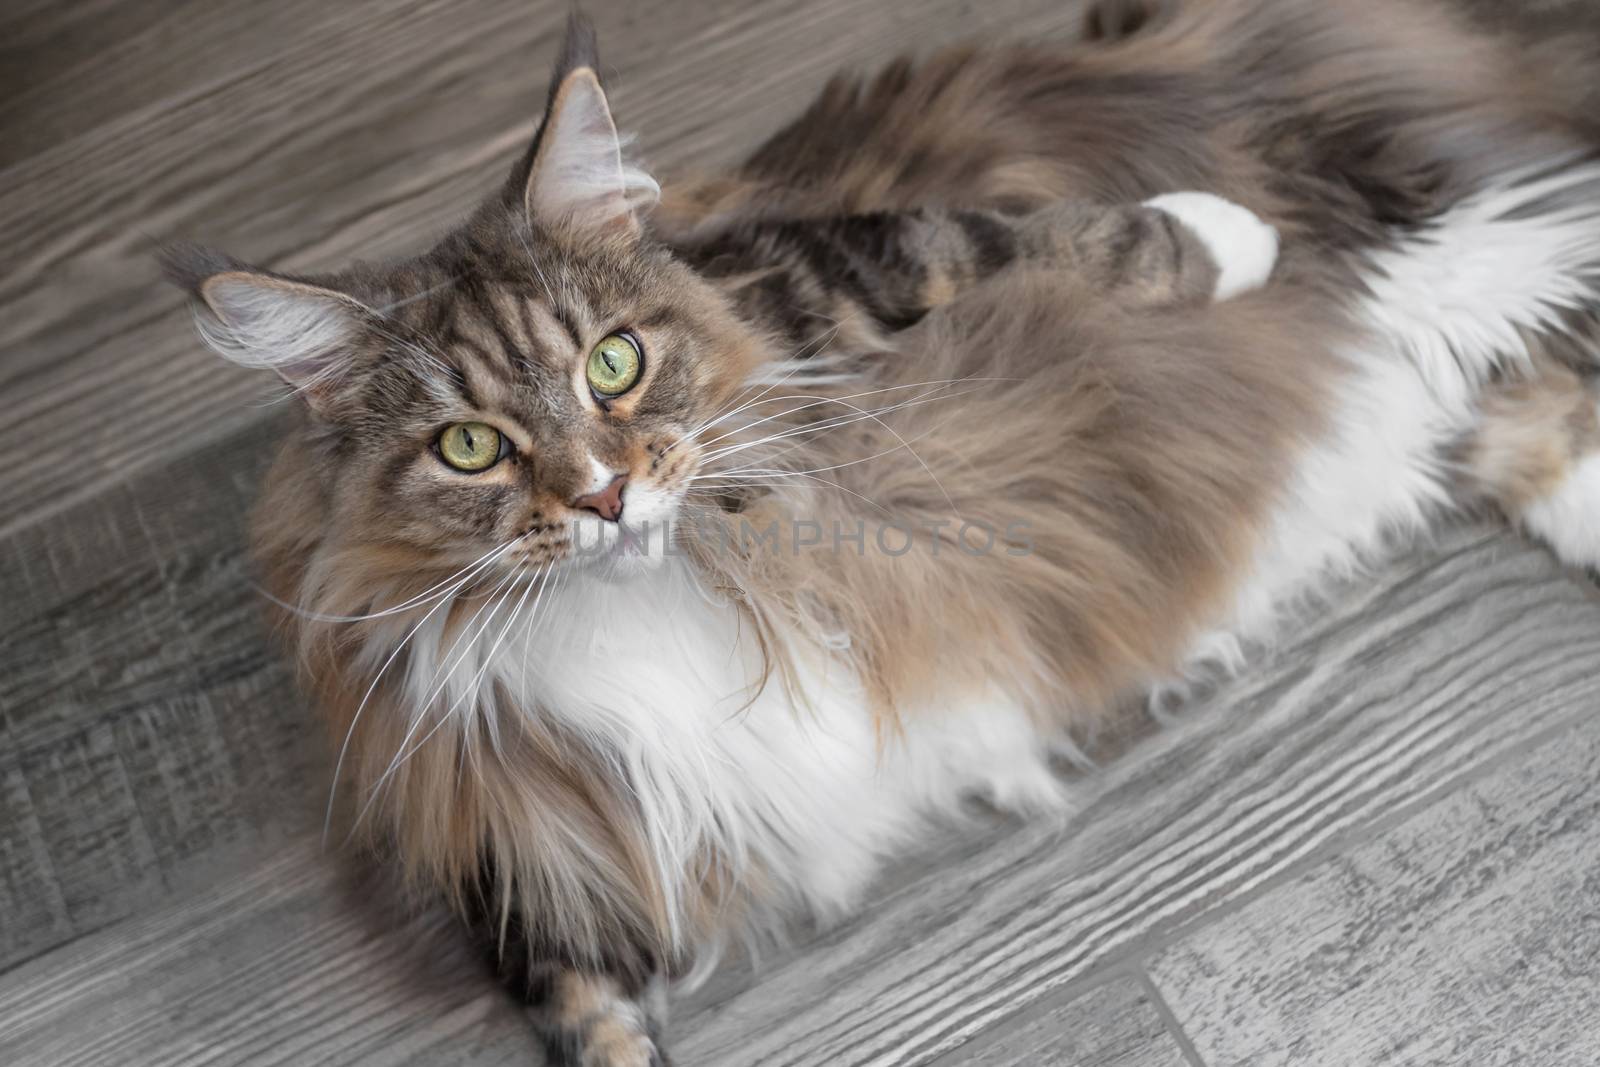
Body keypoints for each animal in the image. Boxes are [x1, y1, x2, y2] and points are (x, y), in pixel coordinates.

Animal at [165, 2, 1600, 1067]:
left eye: (614, 363)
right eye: (470, 446)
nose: (602, 495)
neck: (642, 586)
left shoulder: (818, 273)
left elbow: (1035, 236)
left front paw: (1216, 237)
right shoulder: (523, 824)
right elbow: (571, 1003)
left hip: (1419, 241)